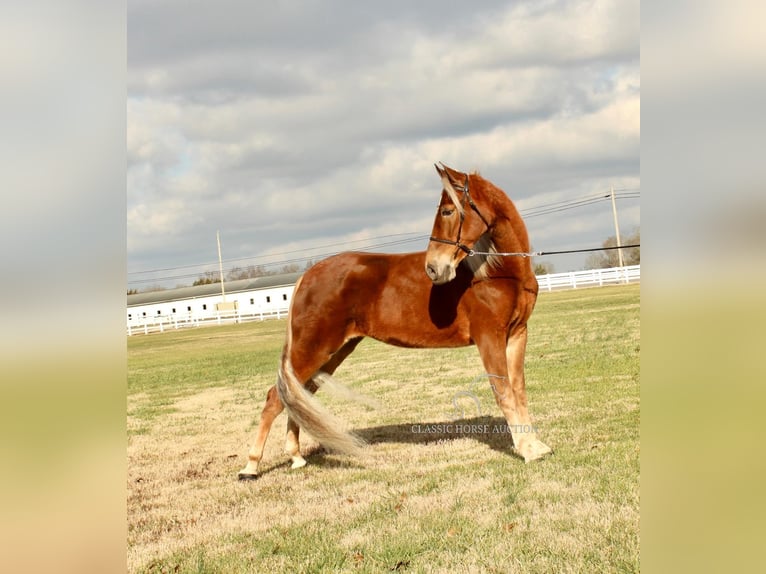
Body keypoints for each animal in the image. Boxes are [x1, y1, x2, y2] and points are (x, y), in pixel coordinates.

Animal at [238, 163, 552, 482]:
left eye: (447, 211)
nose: (433, 268)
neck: (498, 272)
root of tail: (307, 276)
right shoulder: (490, 337)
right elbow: (504, 392)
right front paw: (527, 450)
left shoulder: (517, 334)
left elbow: (518, 390)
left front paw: (536, 446)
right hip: (312, 350)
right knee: (275, 398)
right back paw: (250, 467)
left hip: (332, 352)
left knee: (297, 397)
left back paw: (296, 457)